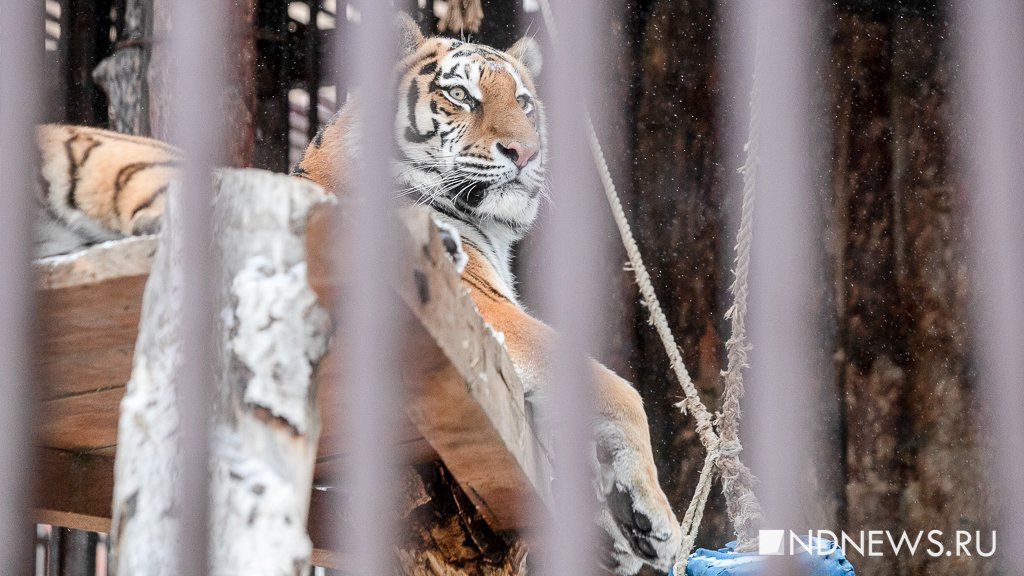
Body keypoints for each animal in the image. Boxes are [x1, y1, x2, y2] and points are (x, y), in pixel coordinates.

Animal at [34, 14, 679, 573]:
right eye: (462, 96)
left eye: (522, 102)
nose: (525, 153)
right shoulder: (490, 311)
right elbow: (617, 390)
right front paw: (660, 520)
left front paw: (621, 529)